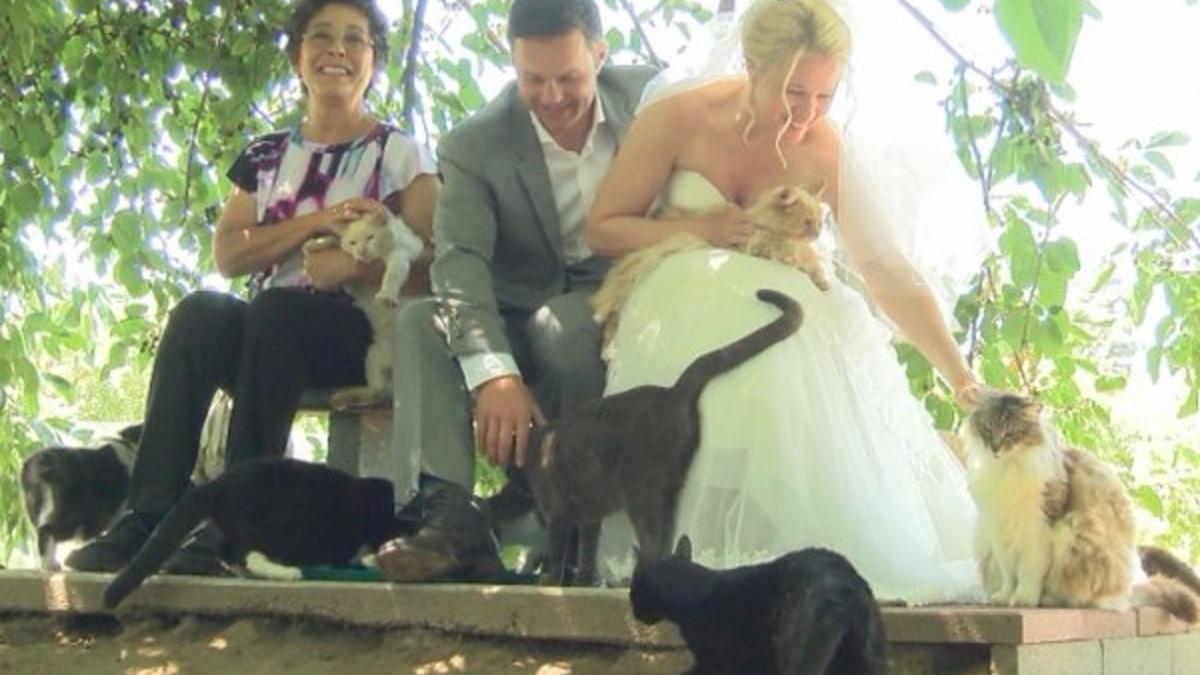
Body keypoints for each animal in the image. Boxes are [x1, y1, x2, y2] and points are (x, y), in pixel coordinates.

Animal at [302, 212, 424, 408]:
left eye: (370, 238)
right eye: (353, 243)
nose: (361, 253)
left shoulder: (402, 253)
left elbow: (392, 274)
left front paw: (387, 295)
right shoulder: (354, 283)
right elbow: (336, 240)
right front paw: (315, 244)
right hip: (372, 354)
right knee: (377, 392)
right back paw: (344, 398)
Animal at [520, 285, 801, 581]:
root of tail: (674, 392)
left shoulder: (558, 512)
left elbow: (557, 554)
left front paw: (549, 580)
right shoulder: (591, 516)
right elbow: (587, 550)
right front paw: (583, 580)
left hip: (643, 492)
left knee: (652, 544)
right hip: (670, 492)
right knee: (667, 540)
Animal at [588, 181, 825, 355]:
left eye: (820, 223)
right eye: (807, 222)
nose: (817, 233)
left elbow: (812, 266)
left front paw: (819, 280)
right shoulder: (752, 246)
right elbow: (780, 254)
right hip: (639, 267)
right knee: (610, 306)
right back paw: (607, 344)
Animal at [964, 391, 1200, 624]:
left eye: (1010, 434)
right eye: (988, 429)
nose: (995, 449)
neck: (1006, 469)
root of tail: (1125, 593)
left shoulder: (1036, 529)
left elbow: (1029, 571)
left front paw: (1025, 598)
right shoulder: (998, 530)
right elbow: (1009, 574)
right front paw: (1005, 596)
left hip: (1071, 530)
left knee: (1085, 600)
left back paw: (1048, 599)